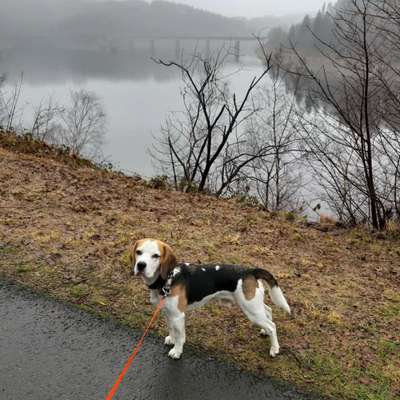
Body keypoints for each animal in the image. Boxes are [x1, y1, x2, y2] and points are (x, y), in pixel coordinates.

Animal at [130, 238, 290, 360]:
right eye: (138, 252)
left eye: (156, 256)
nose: (141, 265)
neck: (168, 279)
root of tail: (250, 271)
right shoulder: (168, 313)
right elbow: (171, 328)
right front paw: (171, 339)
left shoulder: (178, 316)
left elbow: (180, 336)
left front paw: (177, 351)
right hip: (254, 305)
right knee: (268, 311)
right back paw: (264, 331)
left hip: (251, 310)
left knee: (272, 326)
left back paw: (274, 348)